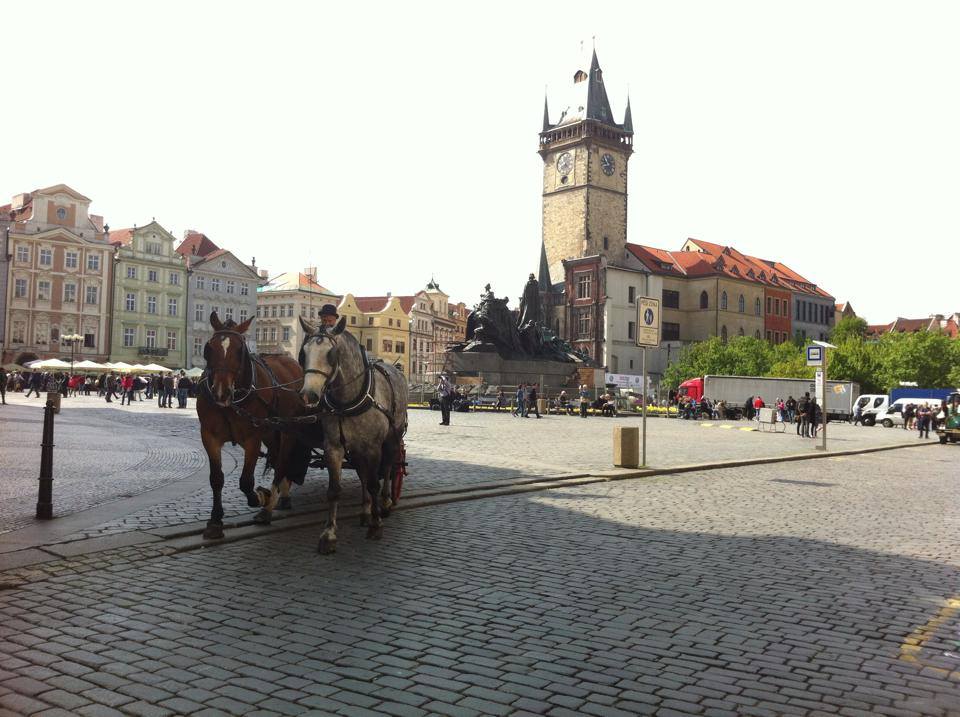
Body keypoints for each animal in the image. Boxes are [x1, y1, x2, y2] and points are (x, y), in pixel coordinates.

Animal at [197, 310, 310, 540]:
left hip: (287, 431)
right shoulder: (210, 437)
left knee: (281, 463)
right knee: (276, 459)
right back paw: (282, 497)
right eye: (208, 348)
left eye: (240, 350)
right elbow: (216, 478)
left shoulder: (252, 439)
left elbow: (246, 481)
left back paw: (268, 507)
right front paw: (215, 520)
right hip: (272, 432)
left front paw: (260, 497)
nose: (221, 392)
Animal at [298, 314, 406, 552]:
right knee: (363, 474)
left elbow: (375, 483)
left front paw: (376, 525)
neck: (347, 401)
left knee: (387, 469)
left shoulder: (374, 447)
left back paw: (385, 503)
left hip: (392, 439)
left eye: (331, 354)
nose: (309, 395)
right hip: (357, 449)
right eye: (304, 353)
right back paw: (365, 511)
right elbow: (334, 489)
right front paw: (329, 534)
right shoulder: (334, 448)